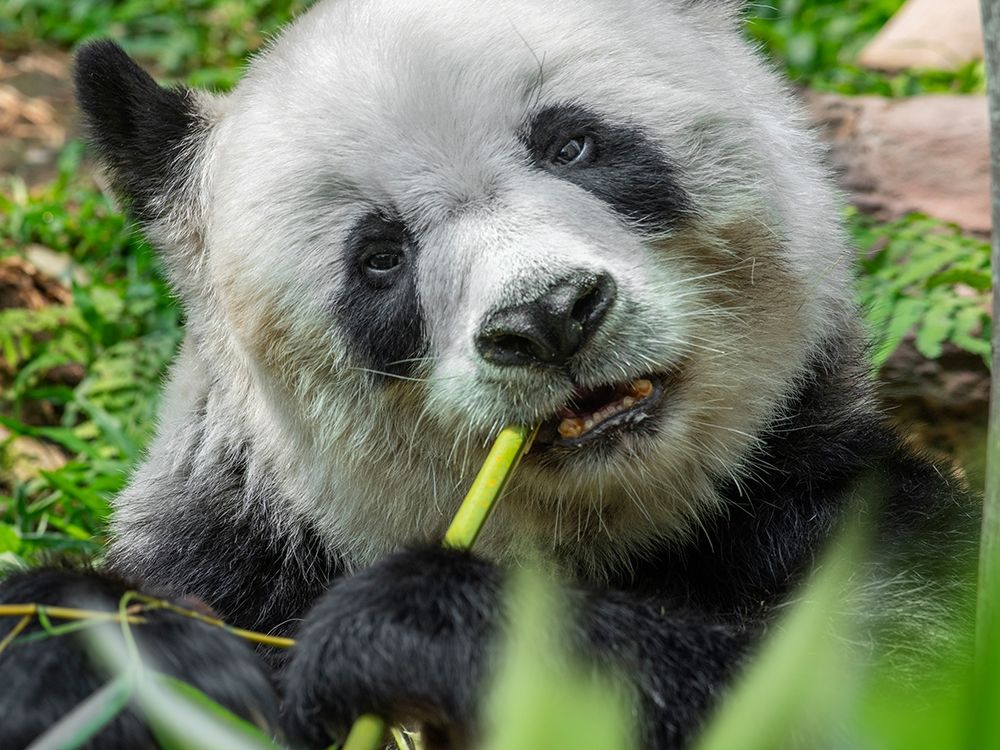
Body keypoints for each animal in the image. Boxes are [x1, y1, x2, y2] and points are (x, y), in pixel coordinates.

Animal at [0, 0, 979, 748]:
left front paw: (411, 628)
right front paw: (118, 658)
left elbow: (893, 683)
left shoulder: (838, 499)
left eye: (573, 144)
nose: (549, 317)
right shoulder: (235, 546)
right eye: (380, 258)